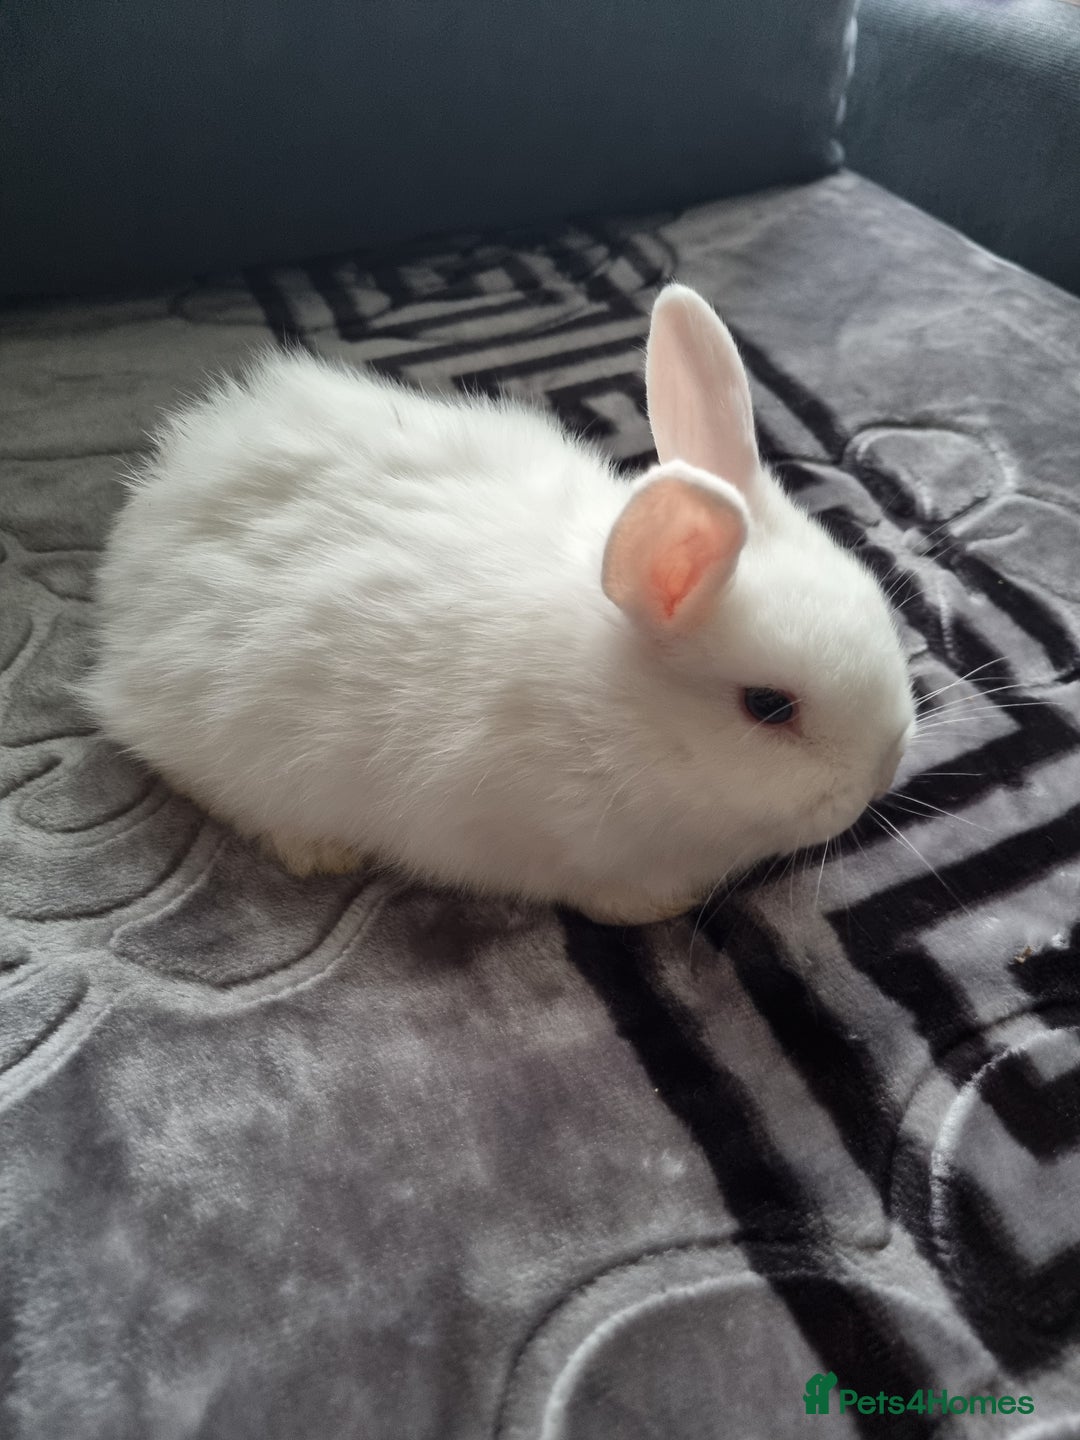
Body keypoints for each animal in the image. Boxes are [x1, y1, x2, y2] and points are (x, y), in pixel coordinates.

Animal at [83, 284, 915, 925]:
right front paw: (658, 907)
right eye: (769, 706)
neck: (620, 711)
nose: (885, 768)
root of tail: (149, 507)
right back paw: (317, 849)